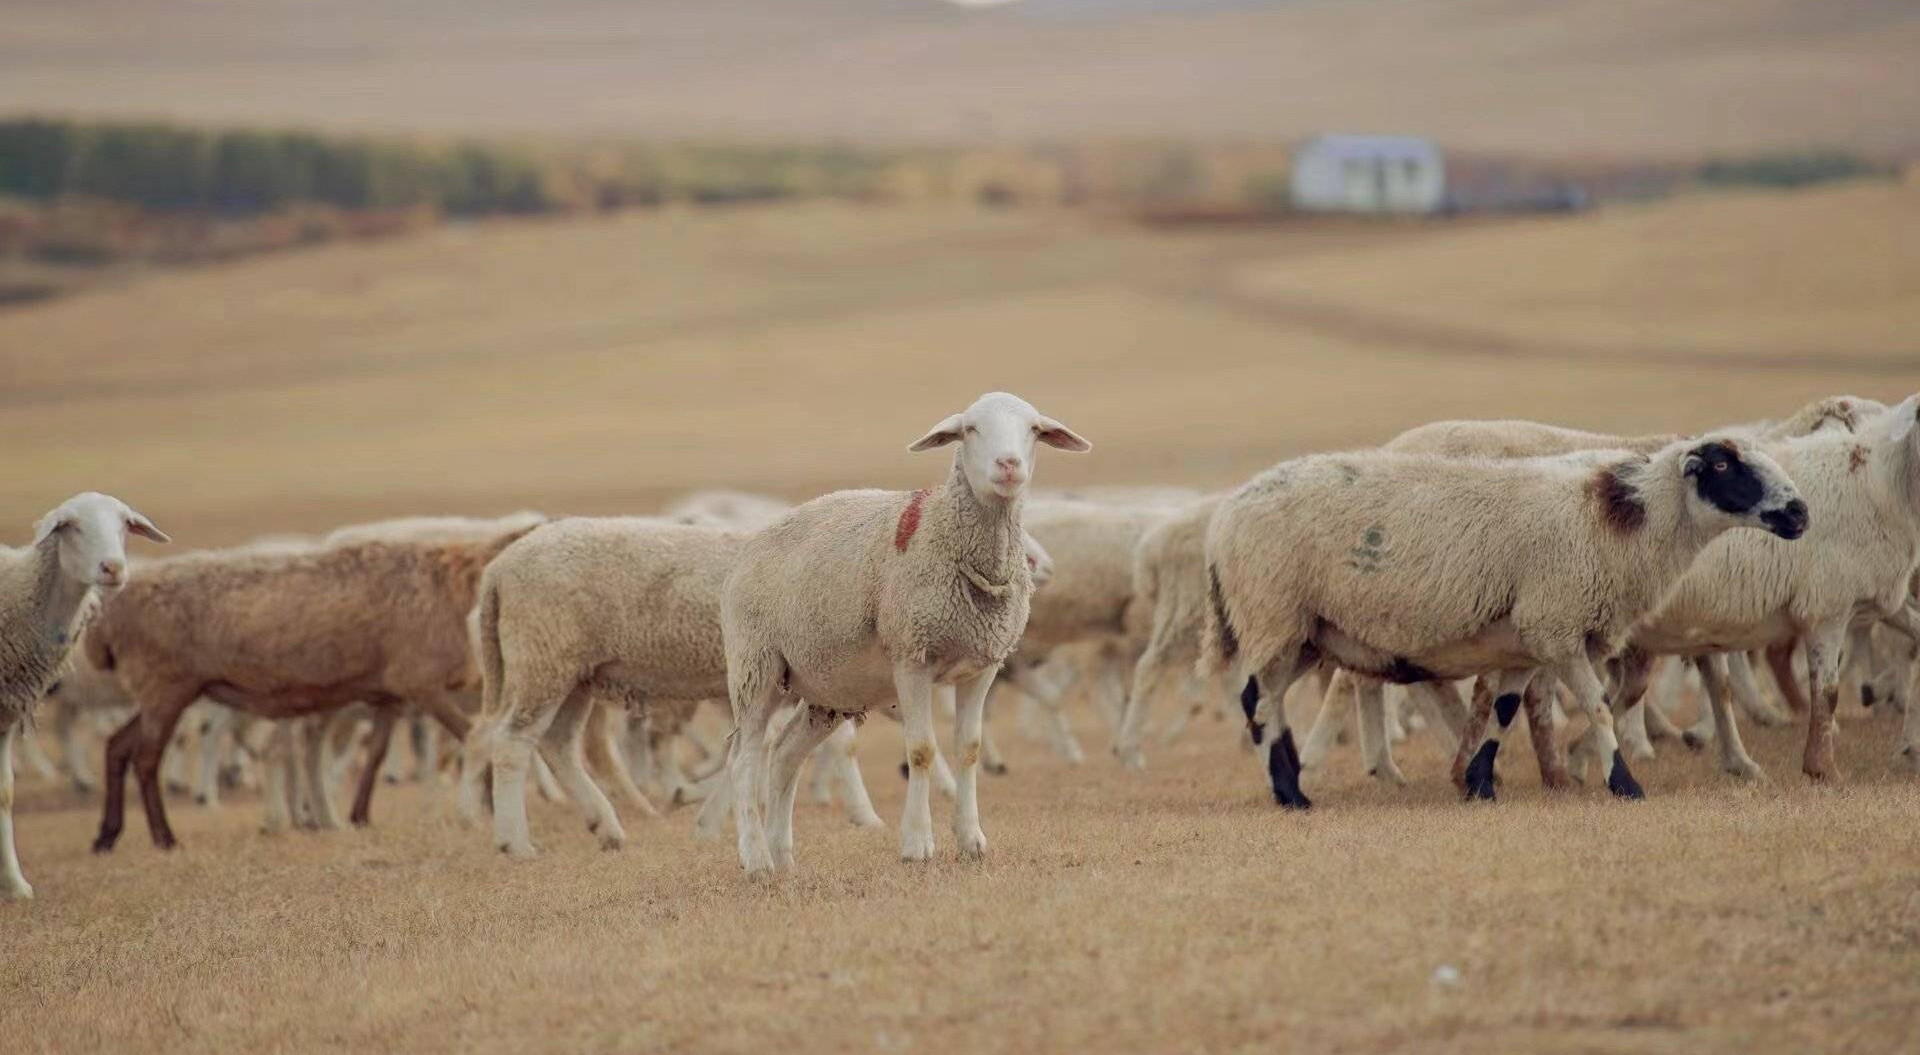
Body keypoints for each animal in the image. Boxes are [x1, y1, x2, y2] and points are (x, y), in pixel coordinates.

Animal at [0, 491, 168, 895]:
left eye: (126, 523)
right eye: (69, 525)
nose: (113, 568)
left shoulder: (7, 714)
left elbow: (5, 794)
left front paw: (15, 886)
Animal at [87, 522, 529, 853]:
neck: (457, 582)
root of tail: (107, 620)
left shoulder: (395, 696)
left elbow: (379, 754)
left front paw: (357, 815)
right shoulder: (420, 683)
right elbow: (476, 739)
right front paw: (492, 809)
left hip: (162, 693)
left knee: (117, 746)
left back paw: (107, 836)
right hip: (165, 687)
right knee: (145, 757)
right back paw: (164, 838)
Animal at [721, 390, 1090, 876]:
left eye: (1033, 429)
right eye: (970, 429)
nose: (1008, 464)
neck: (944, 530)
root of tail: (751, 543)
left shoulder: (983, 666)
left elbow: (968, 748)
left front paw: (971, 840)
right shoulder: (912, 658)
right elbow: (921, 751)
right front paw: (917, 843)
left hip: (826, 688)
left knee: (784, 755)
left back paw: (783, 857)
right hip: (756, 666)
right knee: (745, 762)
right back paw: (756, 858)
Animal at [1205, 436, 1804, 807]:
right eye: (1723, 465)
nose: (1799, 513)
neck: (1619, 521)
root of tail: (1225, 515)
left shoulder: (1530, 638)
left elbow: (1505, 709)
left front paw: (1479, 785)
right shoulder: (1559, 627)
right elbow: (1599, 706)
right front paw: (1625, 785)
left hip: (1304, 631)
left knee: (1270, 700)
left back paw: (1290, 785)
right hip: (1273, 612)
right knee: (1257, 700)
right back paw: (1292, 796)